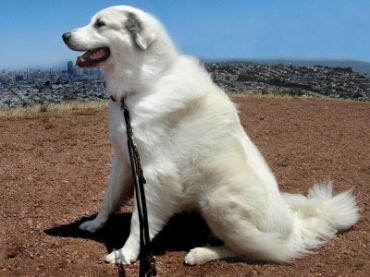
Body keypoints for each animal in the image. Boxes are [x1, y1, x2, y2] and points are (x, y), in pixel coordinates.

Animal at [62, 5, 358, 266]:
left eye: (100, 24)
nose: (64, 35)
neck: (146, 84)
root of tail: (293, 229)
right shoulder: (125, 159)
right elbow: (109, 198)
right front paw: (95, 224)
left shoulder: (156, 173)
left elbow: (139, 222)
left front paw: (126, 253)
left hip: (218, 201)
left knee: (250, 250)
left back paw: (202, 253)